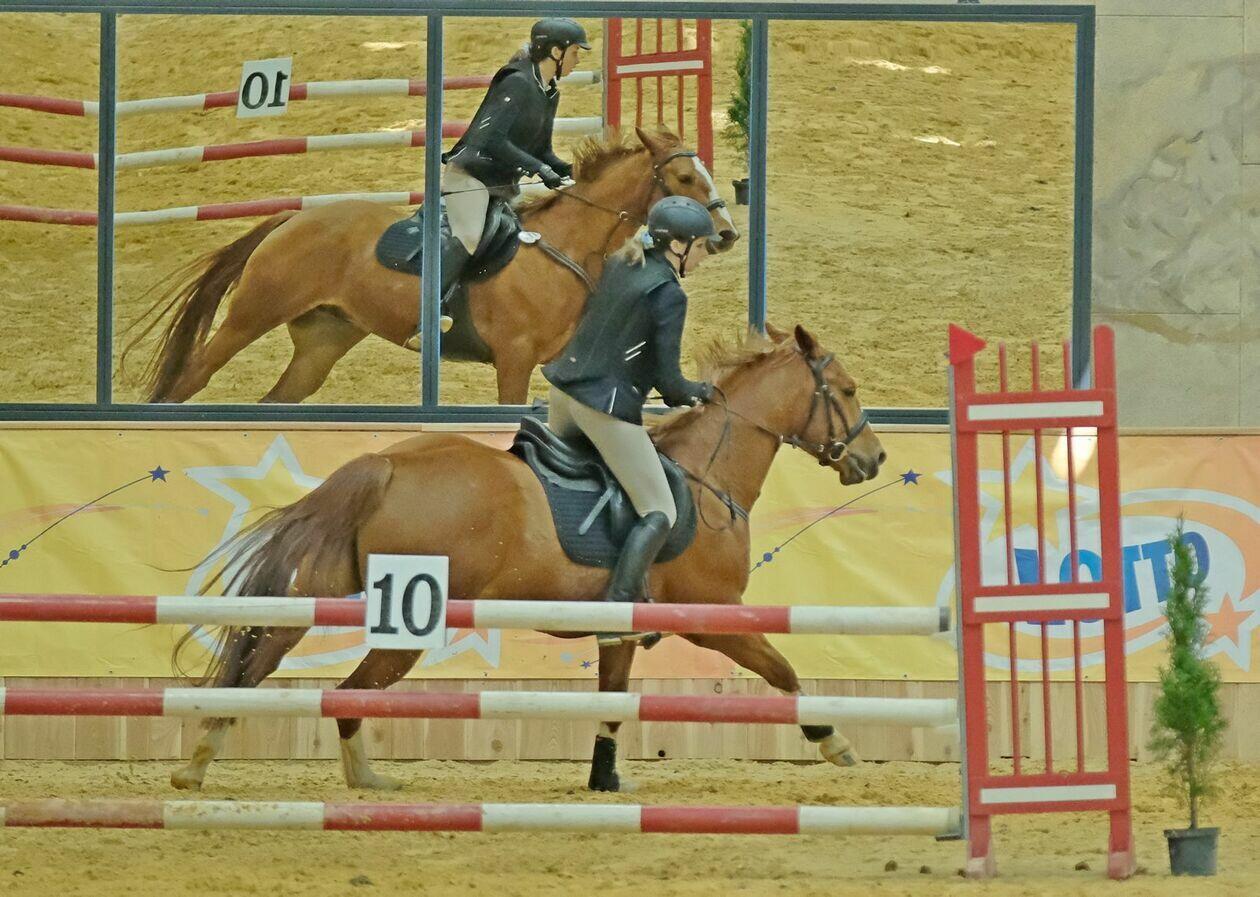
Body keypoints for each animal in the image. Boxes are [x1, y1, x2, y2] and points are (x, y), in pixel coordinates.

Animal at [122, 129, 739, 405]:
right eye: (685, 178)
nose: (727, 234)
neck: (564, 248)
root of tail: (293, 219)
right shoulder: (514, 362)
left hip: (323, 339)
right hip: (252, 316)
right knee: (193, 376)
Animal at [170, 323, 886, 793]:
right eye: (848, 390)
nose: (873, 458)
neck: (706, 475)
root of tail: (388, 462)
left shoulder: (622, 632)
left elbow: (612, 702)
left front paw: (603, 779)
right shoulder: (712, 616)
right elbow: (785, 674)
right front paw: (837, 743)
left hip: (332, 589)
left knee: (265, 654)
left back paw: (204, 759)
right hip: (414, 619)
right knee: (347, 693)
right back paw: (363, 779)